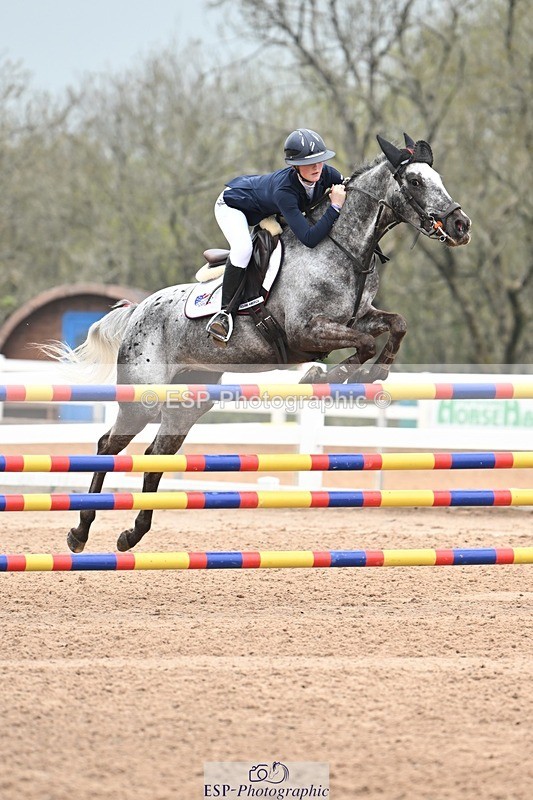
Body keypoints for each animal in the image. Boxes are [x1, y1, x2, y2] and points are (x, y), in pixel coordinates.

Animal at [53, 133, 471, 552]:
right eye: (415, 181)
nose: (461, 224)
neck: (341, 249)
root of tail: (138, 311)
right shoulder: (307, 332)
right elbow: (364, 344)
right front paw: (326, 377)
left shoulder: (357, 316)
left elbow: (395, 325)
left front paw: (373, 373)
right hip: (142, 400)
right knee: (107, 446)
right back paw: (80, 532)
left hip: (189, 401)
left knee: (157, 454)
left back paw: (132, 534)